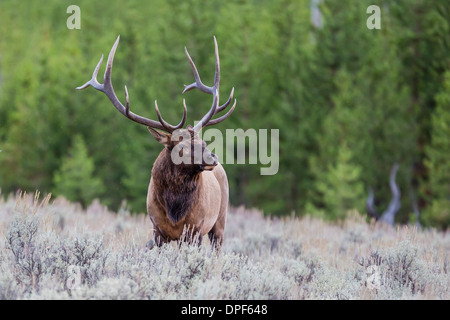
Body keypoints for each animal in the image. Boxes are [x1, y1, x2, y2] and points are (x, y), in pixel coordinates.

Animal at [78, 36, 237, 249]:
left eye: (203, 142)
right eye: (181, 146)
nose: (213, 157)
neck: (175, 211)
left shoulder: (196, 229)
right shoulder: (158, 230)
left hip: (220, 221)